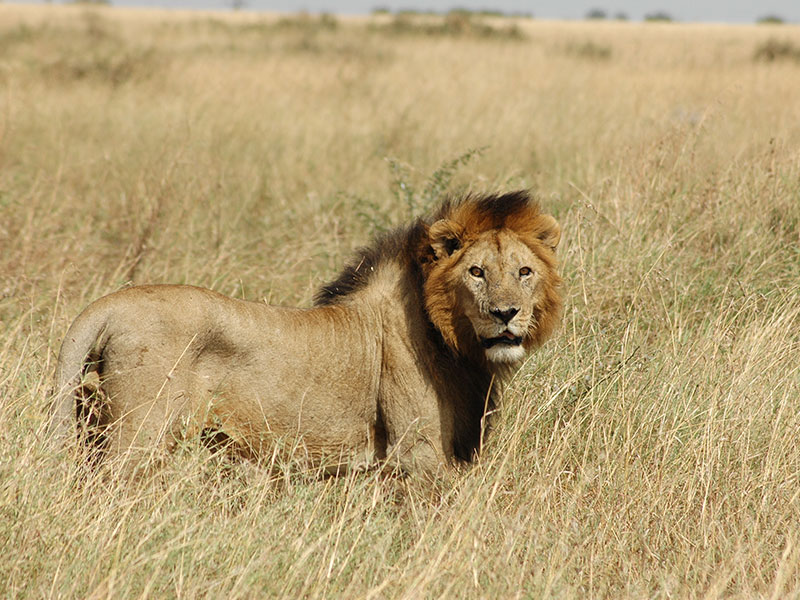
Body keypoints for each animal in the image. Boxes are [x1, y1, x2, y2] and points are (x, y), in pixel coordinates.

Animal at [50, 190, 564, 480]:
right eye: (477, 272)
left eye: (524, 272)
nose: (505, 314)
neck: (453, 341)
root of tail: (107, 304)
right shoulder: (417, 454)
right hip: (139, 437)